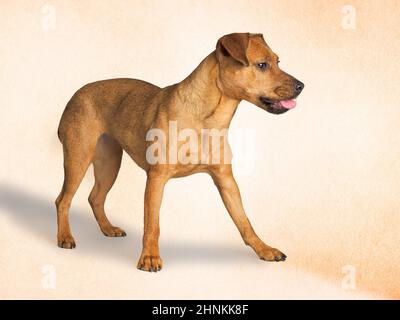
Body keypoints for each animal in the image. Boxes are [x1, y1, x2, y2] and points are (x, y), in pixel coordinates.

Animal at [56, 33, 304, 272]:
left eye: (278, 62)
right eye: (262, 65)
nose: (301, 85)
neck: (207, 120)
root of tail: (74, 95)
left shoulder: (226, 180)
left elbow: (243, 220)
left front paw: (264, 249)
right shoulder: (156, 179)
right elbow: (152, 224)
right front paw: (149, 258)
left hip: (109, 163)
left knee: (95, 198)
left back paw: (108, 229)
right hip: (78, 159)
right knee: (63, 200)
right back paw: (65, 237)